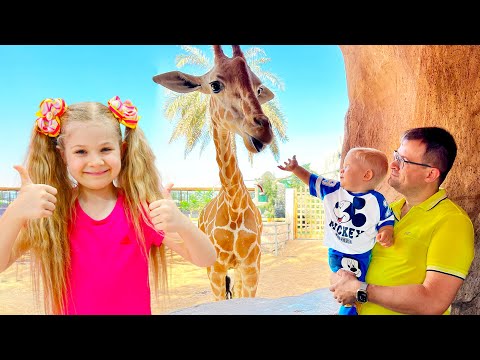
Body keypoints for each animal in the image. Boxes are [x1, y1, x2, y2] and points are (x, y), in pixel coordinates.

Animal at [154, 45, 274, 300]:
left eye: (259, 88)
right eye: (215, 85)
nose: (263, 130)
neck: (234, 207)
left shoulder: (252, 267)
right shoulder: (215, 269)